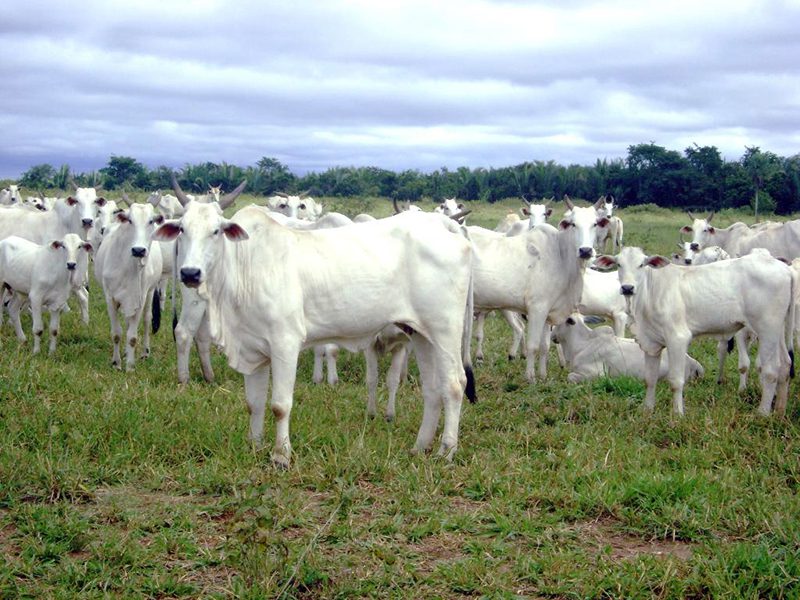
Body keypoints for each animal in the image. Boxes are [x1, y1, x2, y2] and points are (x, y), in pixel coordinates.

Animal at [93, 204, 163, 368]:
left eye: (151, 221)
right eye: (130, 220)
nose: (139, 250)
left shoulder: (139, 299)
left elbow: (132, 336)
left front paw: (130, 366)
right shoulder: (110, 298)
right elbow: (116, 333)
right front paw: (116, 362)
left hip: (150, 292)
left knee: (146, 320)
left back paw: (145, 352)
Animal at [156, 204, 476, 466]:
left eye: (215, 231)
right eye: (182, 229)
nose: (190, 273)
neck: (245, 265)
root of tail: (442, 224)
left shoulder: (285, 343)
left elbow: (279, 405)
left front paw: (281, 455)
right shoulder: (253, 348)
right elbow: (253, 403)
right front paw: (255, 446)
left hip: (445, 330)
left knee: (454, 384)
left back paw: (446, 451)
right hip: (422, 334)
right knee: (432, 390)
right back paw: (419, 447)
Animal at [592, 246, 792, 414]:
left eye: (641, 264)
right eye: (618, 264)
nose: (627, 288)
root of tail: (785, 268)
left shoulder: (677, 338)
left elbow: (676, 381)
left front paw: (677, 414)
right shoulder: (651, 342)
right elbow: (650, 379)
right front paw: (647, 410)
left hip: (767, 330)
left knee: (771, 370)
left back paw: (763, 413)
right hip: (779, 331)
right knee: (785, 364)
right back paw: (780, 411)